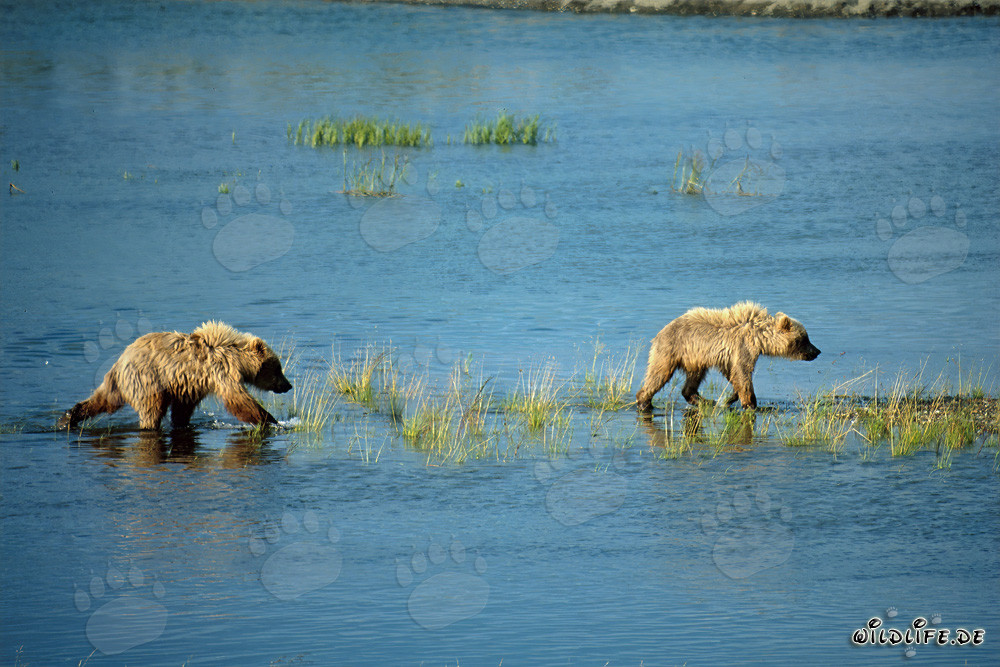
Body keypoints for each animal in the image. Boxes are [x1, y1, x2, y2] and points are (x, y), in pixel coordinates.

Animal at [57, 321, 292, 430]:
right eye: (278, 368)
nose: (288, 385)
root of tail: (120, 360)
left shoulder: (191, 383)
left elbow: (183, 407)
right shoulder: (220, 372)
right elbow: (238, 400)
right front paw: (272, 420)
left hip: (122, 382)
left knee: (104, 399)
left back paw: (68, 417)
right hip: (147, 380)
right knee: (151, 409)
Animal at [635, 302, 820, 411]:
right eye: (805, 338)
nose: (817, 351)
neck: (759, 336)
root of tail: (660, 332)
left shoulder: (728, 356)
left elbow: (733, 374)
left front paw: (731, 397)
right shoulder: (743, 347)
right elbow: (743, 373)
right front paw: (751, 403)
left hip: (696, 358)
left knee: (693, 379)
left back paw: (704, 400)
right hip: (671, 349)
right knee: (658, 374)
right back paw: (644, 401)